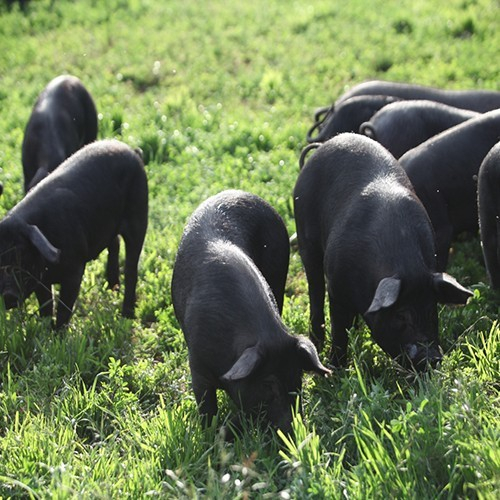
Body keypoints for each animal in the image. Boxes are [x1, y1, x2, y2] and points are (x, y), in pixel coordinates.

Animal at [0, 141, 148, 328]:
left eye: (22, 255)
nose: (7, 295)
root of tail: (131, 151)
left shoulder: (75, 269)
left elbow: (64, 308)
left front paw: (58, 332)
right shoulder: (41, 280)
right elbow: (46, 305)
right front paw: (46, 329)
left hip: (139, 215)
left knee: (131, 267)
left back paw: (126, 315)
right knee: (114, 244)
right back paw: (112, 288)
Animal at [170, 190, 330, 434]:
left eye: (297, 379)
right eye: (267, 383)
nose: (294, 432)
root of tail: (243, 193)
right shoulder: (197, 366)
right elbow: (206, 406)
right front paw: (209, 434)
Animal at [292, 135, 472, 370]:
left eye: (432, 310)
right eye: (402, 315)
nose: (432, 357)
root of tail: (322, 146)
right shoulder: (336, 286)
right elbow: (339, 329)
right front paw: (337, 369)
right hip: (305, 237)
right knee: (315, 290)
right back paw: (318, 342)